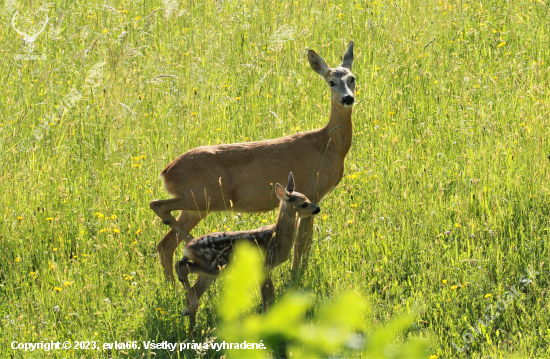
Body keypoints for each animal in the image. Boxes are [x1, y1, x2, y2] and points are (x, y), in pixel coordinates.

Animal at [151, 41, 358, 282]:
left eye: (352, 78)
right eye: (331, 81)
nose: (348, 98)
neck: (327, 145)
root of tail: (166, 172)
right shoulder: (312, 191)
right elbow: (302, 244)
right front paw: (297, 276)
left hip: (197, 205)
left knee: (164, 244)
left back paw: (172, 284)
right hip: (203, 196)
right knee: (157, 207)